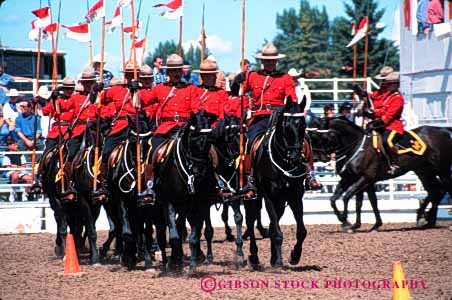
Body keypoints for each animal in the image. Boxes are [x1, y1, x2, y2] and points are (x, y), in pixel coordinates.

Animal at [249, 99, 308, 268]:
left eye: (303, 125)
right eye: (286, 126)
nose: (295, 157)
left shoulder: (295, 196)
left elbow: (301, 231)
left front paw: (294, 256)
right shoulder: (268, 196)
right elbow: (276, 232)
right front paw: (279, 261)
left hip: (281, 201)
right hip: (254, 198)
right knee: (250, 221)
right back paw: (254, 256)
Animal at [310, 116, 452, 227]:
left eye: (321, 136)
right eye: (313, 136)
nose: (317, 157)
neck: (356, 146)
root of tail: (443, 130)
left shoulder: (365, 179)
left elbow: (347, 197)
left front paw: (347, 222)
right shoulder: (351, 179)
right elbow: (338, 200)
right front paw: (360, 224)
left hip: (442, 170)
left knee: (443, 188)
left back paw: (427, 218)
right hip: (424, 171)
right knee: (435, 191)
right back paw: (425, 219)